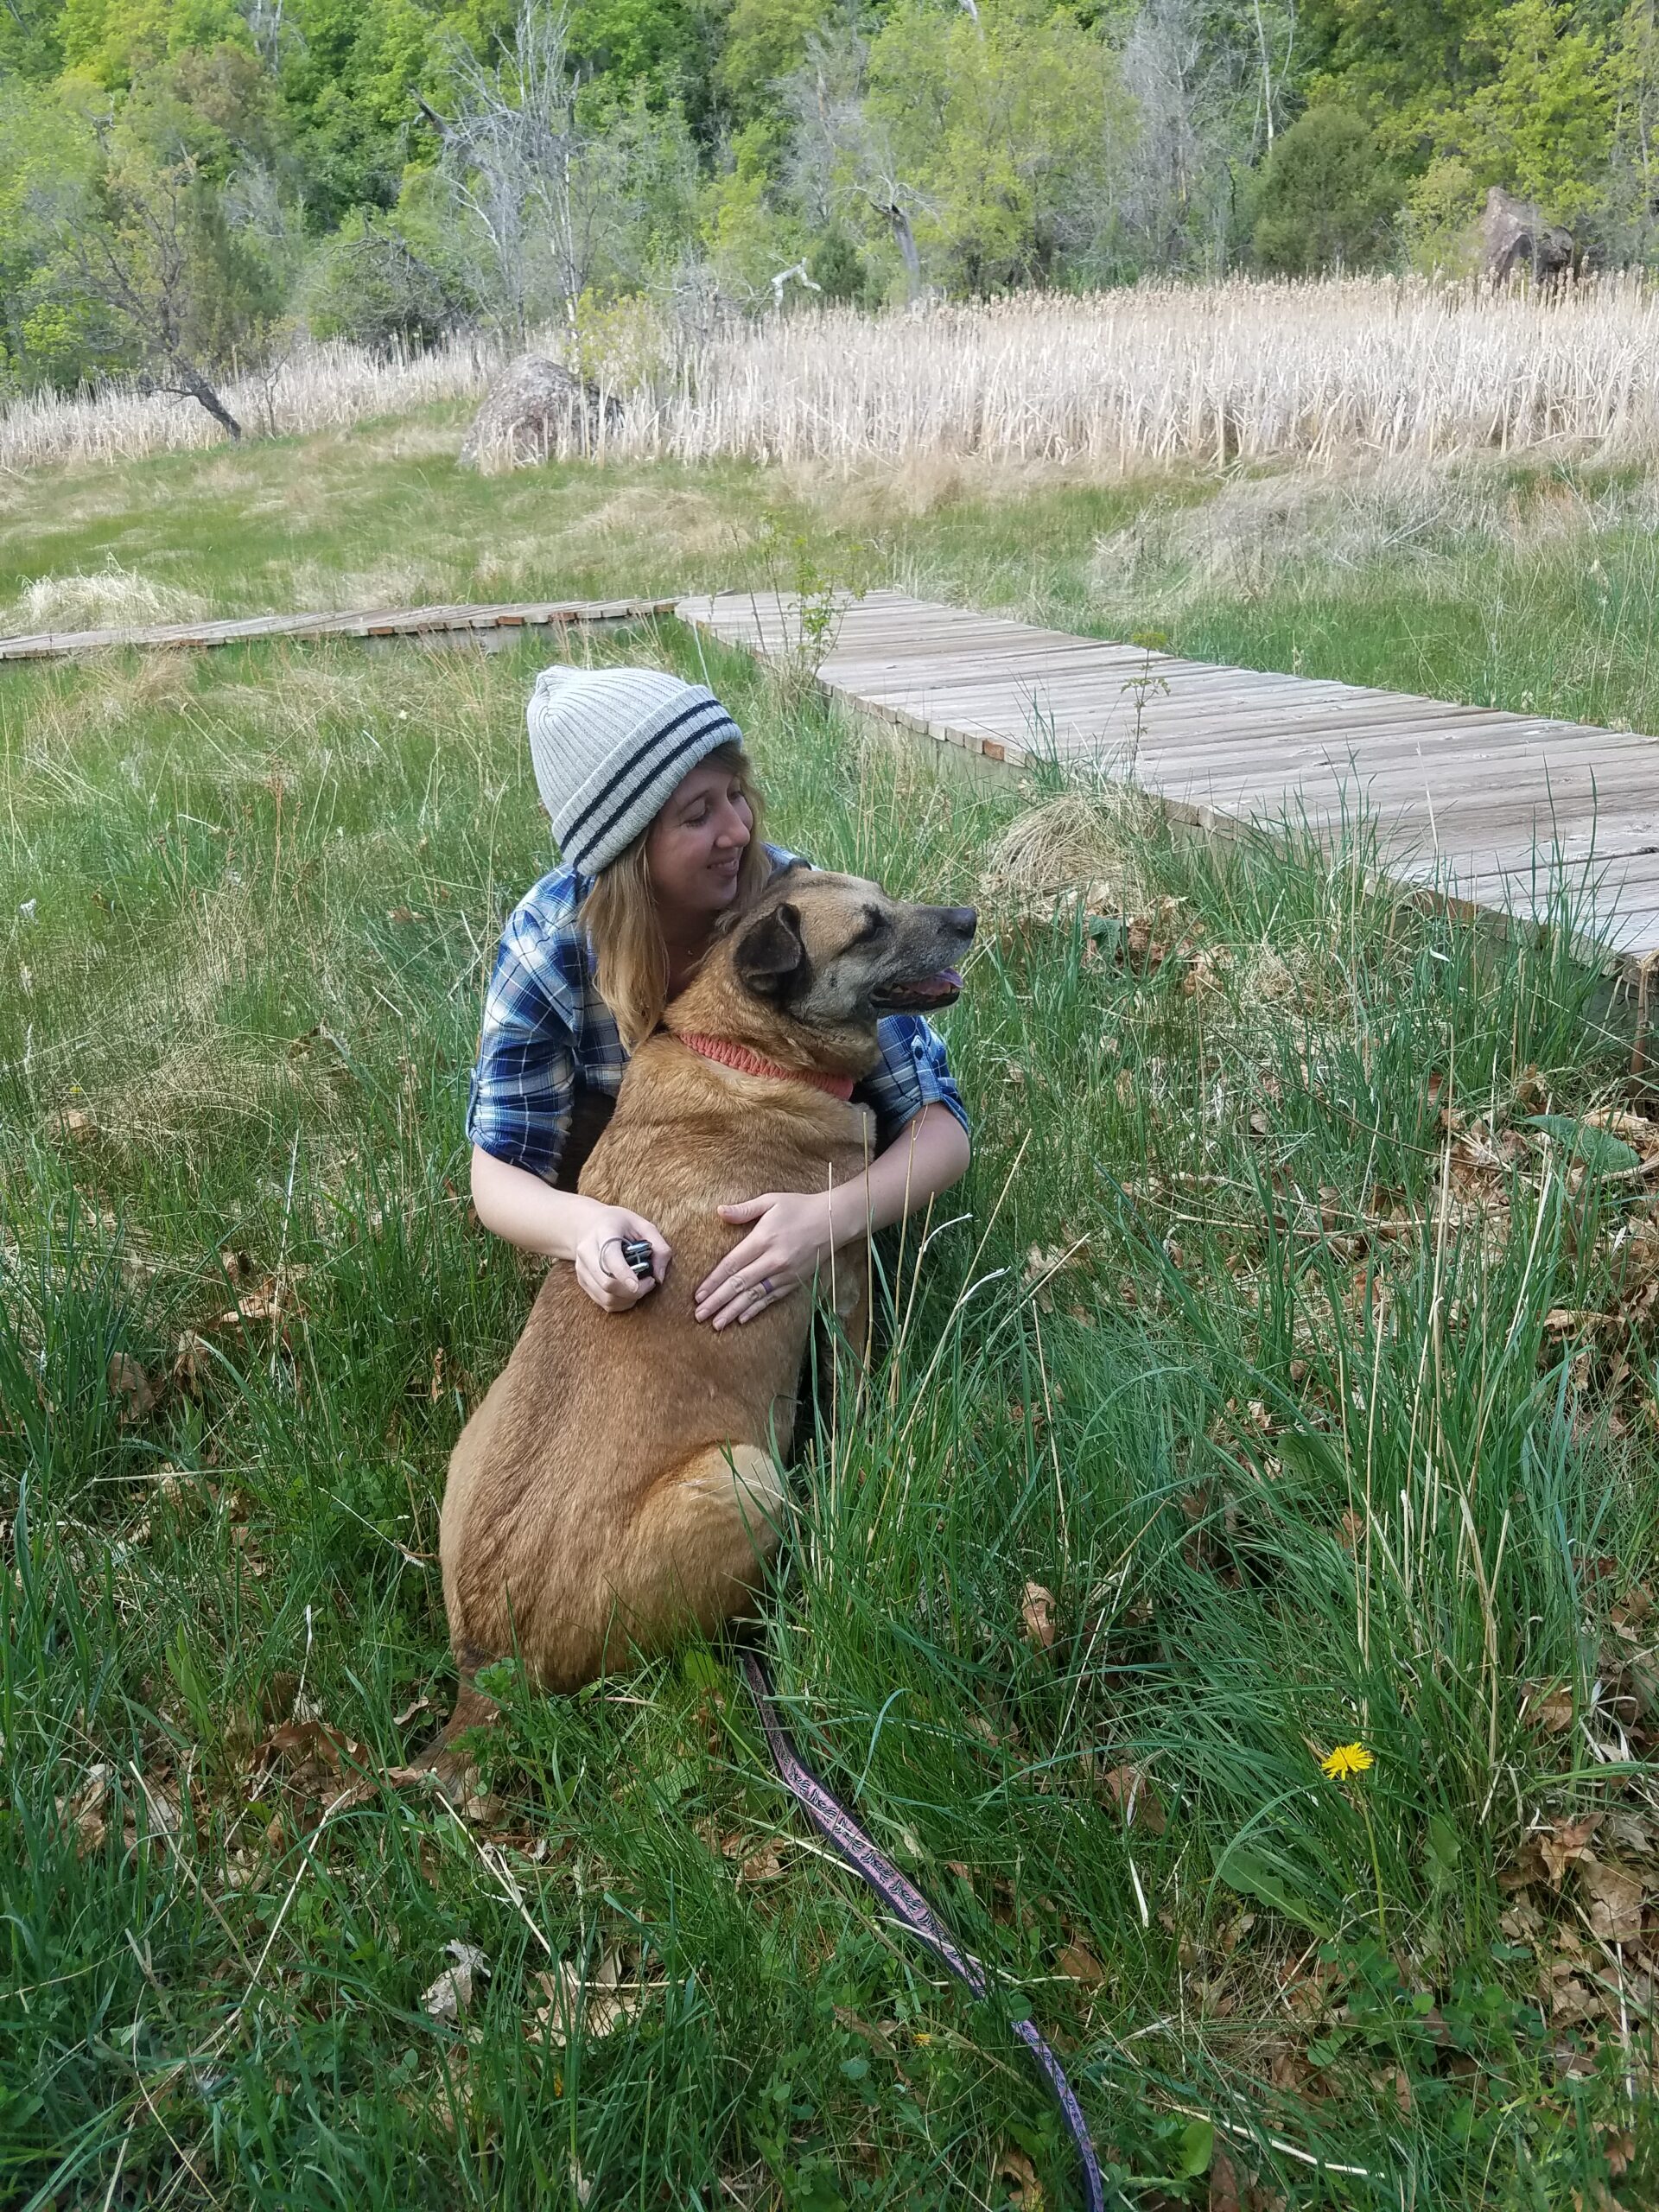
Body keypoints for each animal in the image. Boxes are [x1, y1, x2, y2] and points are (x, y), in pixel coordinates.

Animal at [431, 871, 973, 1734]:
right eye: (869, 927)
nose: (971, 919)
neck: (751, 1052)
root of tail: (493, 1669)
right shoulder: (841, 1270)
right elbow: (855, 1385)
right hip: (746, 1480)